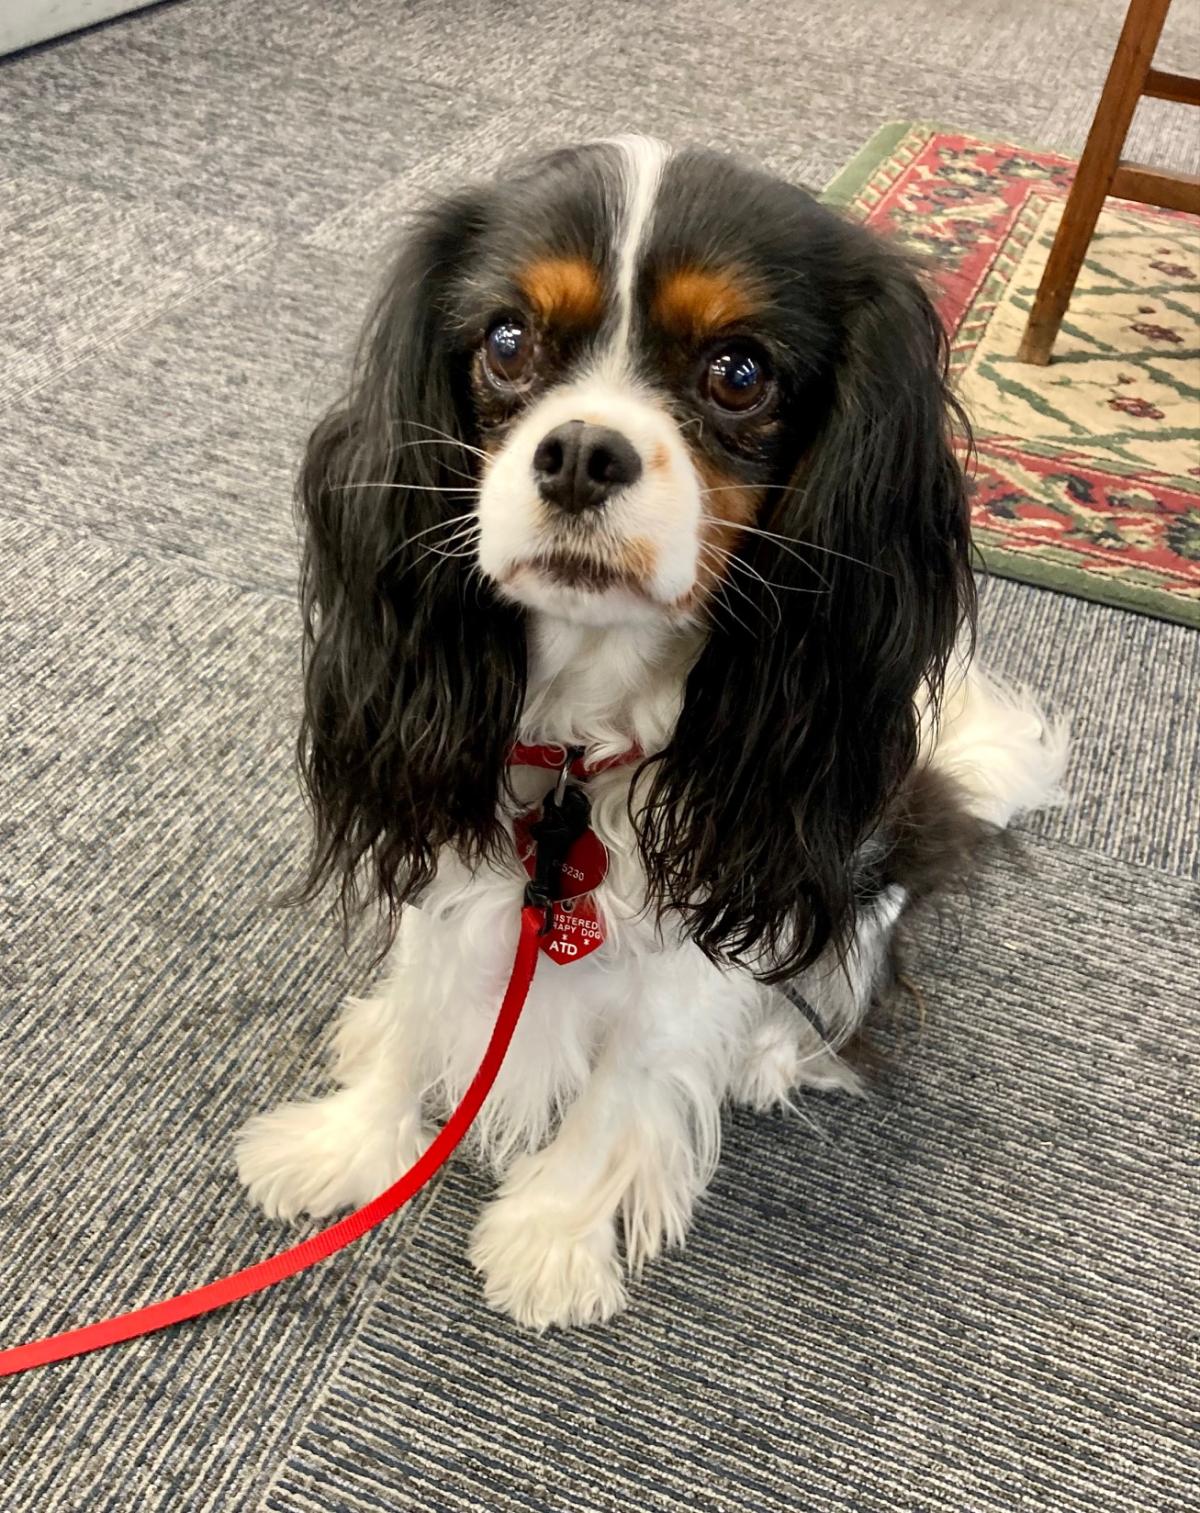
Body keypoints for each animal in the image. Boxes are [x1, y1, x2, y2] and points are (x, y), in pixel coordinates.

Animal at [236, 139, 1065, 1325]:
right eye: (507, 341)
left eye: (739, 371)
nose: (583, 451)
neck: (581, 756)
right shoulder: (453, 844)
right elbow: (425, 999)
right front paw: (351, 1143)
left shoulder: (702, 919)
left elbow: (634, 1073)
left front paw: (551, 1235)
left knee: (838, 964)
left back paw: (771, 1053)